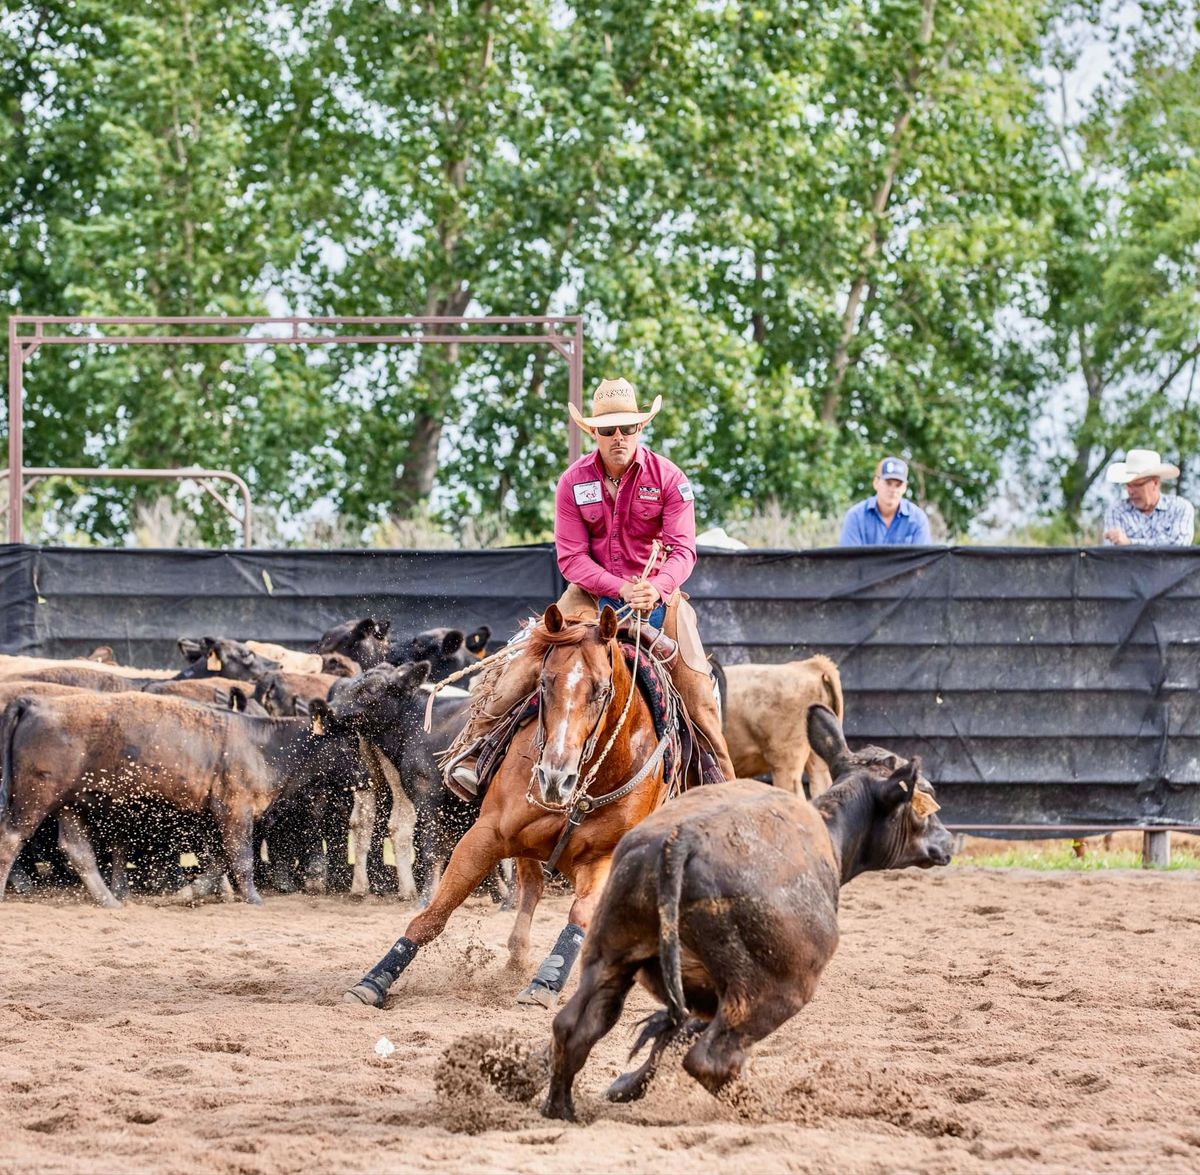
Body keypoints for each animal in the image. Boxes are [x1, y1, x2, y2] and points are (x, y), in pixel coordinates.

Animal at [345, 607, 676, 1012]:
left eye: (601, 689)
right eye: (544, 683)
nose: (555, 777)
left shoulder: (603, 856)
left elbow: (580, 917)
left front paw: (546, 982)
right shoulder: (485, 834)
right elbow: (434, 912)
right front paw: (375, 979)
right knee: (530, 887)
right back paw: (516, 955)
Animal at [540, 700, 950, 1123]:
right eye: (926, 799)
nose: (947, 841)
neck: (831, 834)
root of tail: (681, 841)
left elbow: (671, 1032)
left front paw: (624, 1085)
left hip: (610, 952)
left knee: (576, 1026)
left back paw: (562, 1109)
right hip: (772, 992)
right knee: (711, 1059)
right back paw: (769, 1109)